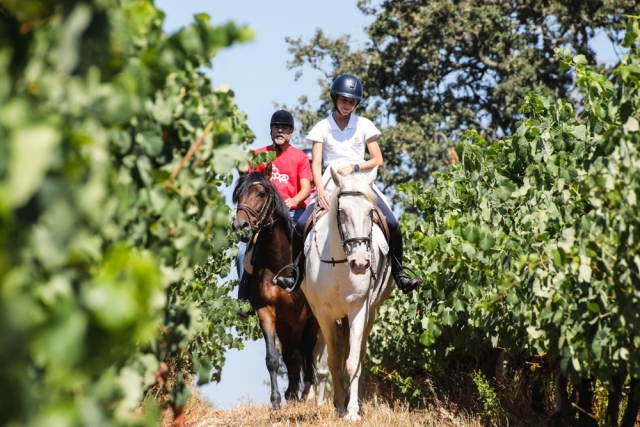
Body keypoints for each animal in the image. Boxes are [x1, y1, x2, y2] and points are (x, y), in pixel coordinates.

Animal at [231, 165, 319, 408]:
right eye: (238, 195)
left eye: (261, 193)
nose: (240, 226)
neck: (279, 265)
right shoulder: (266, 311)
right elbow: (273, 358)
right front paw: (277, 401)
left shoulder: (299, 317)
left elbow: (297, 356)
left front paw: (294, 396)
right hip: (282, 323)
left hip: (313, 321)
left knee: (307, 352)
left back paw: (306, 391)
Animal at [301, 167, 394, 421]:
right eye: (342, 212)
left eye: (371, 211)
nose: (361, 263)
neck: (338, 262)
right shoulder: (324, 315)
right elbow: (333, 360)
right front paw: (340, 406)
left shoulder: (358, 310)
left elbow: (352, 362)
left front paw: (352, 411)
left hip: (368, 315)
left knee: (358, 354)